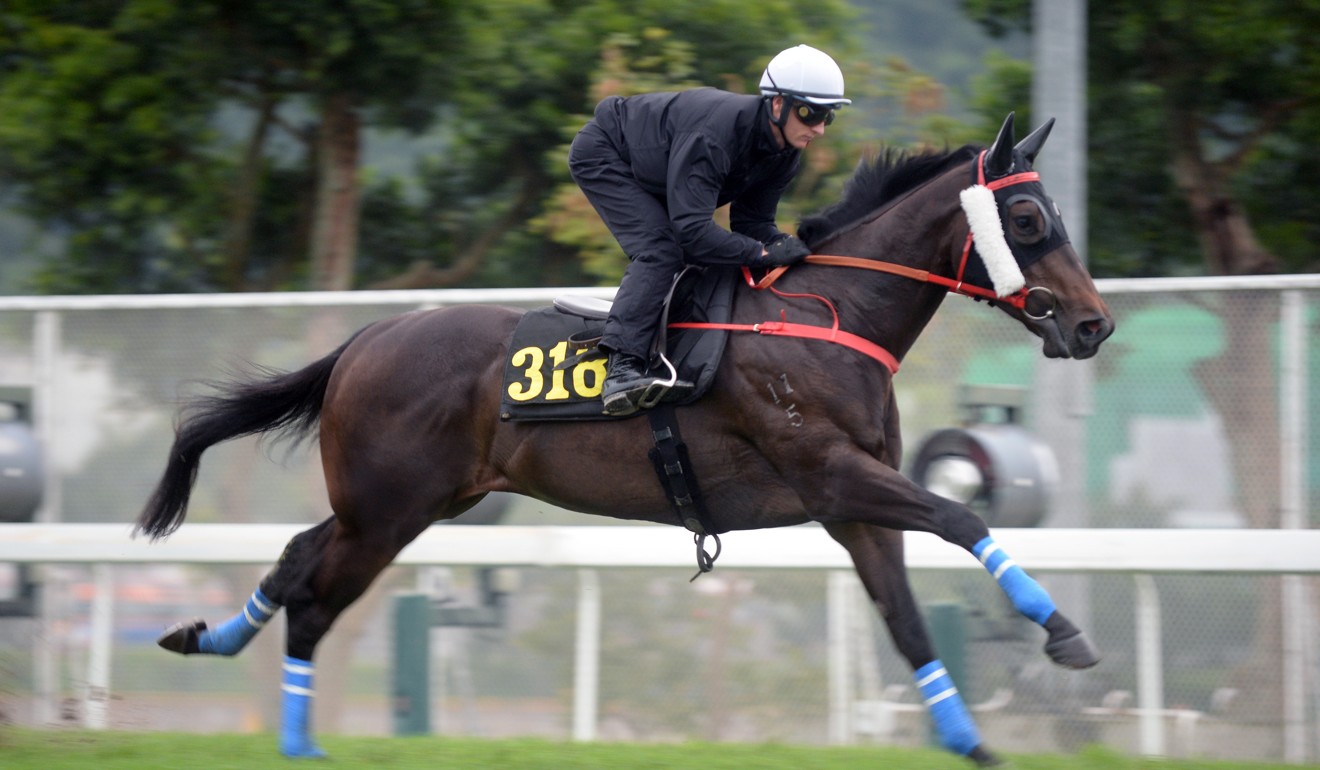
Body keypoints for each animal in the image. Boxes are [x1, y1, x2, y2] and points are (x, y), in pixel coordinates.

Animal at [139, 114, 1114, 766]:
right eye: (1030, 222)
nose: (1094, 325)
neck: (828, 316)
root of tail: (364, 340)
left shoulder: (852, 505)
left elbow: (908, 618)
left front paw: (968, 738)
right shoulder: (833, 475)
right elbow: (962, 517)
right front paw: (1066, 633)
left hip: (406, 503)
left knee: (296, 559)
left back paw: (210, 642)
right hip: (388, 511)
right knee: (314, 598)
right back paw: (295, 741)